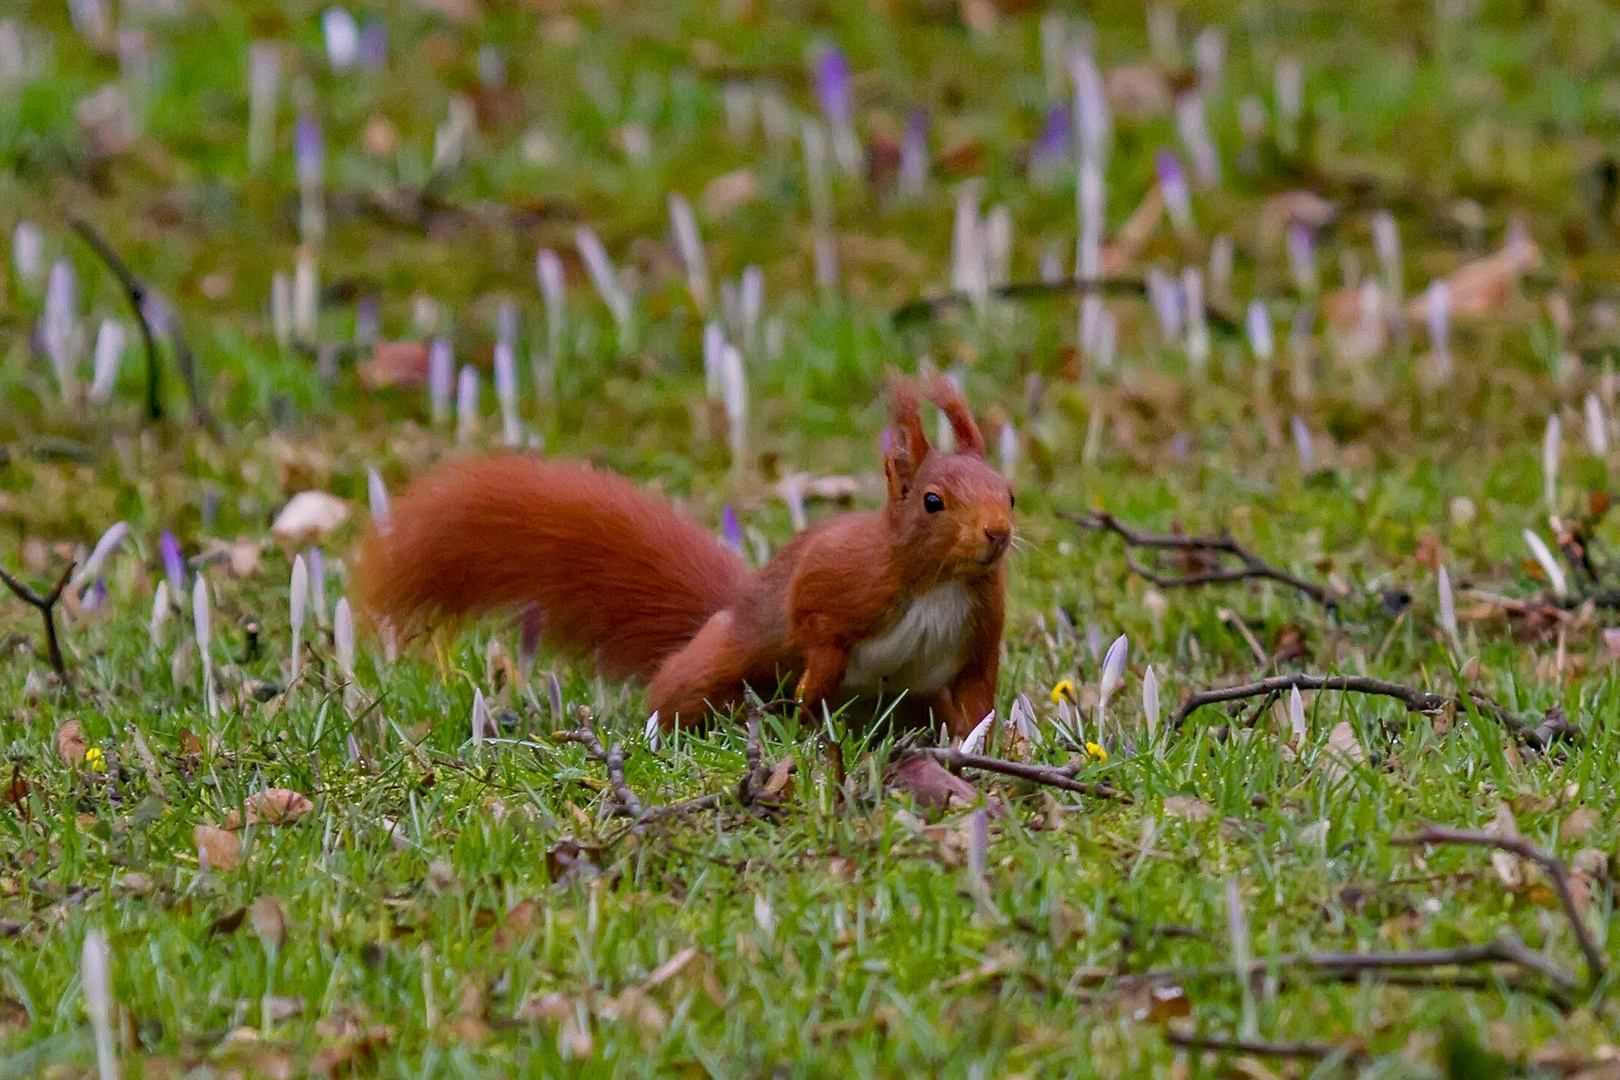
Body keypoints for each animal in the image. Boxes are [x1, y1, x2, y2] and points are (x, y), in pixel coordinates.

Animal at [358, 375, 1010, 738]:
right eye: (932, 501)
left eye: (1009, 493)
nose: (999, 533)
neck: (940, 582)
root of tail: (727, 608)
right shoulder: (842, 577)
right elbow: (812, 620)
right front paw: (811, 694)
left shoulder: (979, 631)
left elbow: (977, 694)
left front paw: (992, 742)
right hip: (724, 657)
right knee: (682, 686)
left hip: (915, 701)